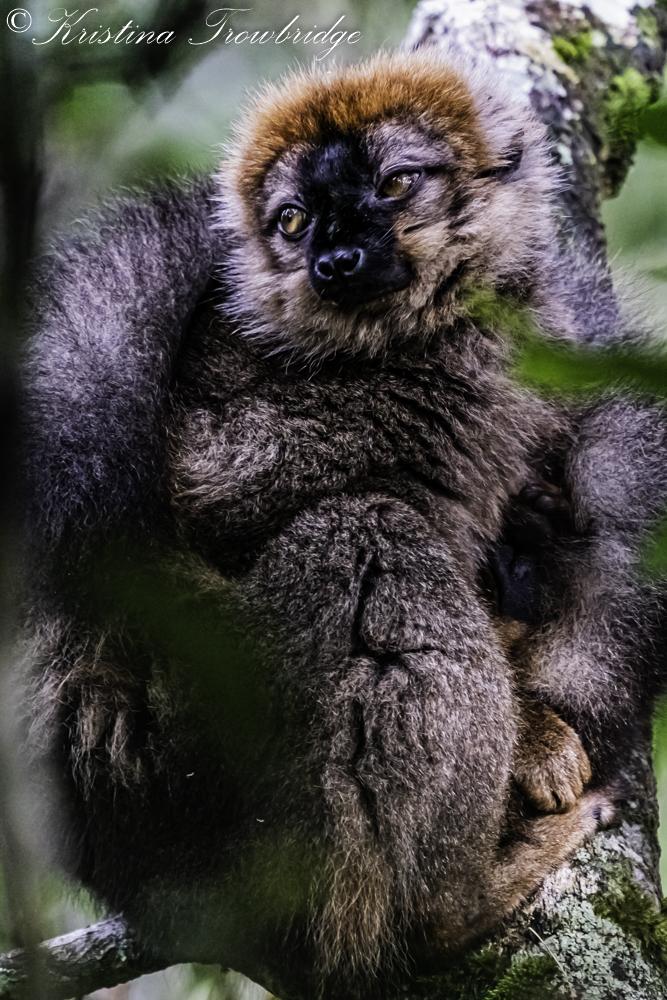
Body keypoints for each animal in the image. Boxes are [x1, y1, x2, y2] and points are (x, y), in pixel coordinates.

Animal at [21, 50, 667, 1000]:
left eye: (396, 184)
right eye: (292, 221)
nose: (335, 258)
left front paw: (550, 716)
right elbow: (210, 486)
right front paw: (536, 735)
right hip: (206, 734)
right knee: (367, 540)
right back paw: (451, 907)